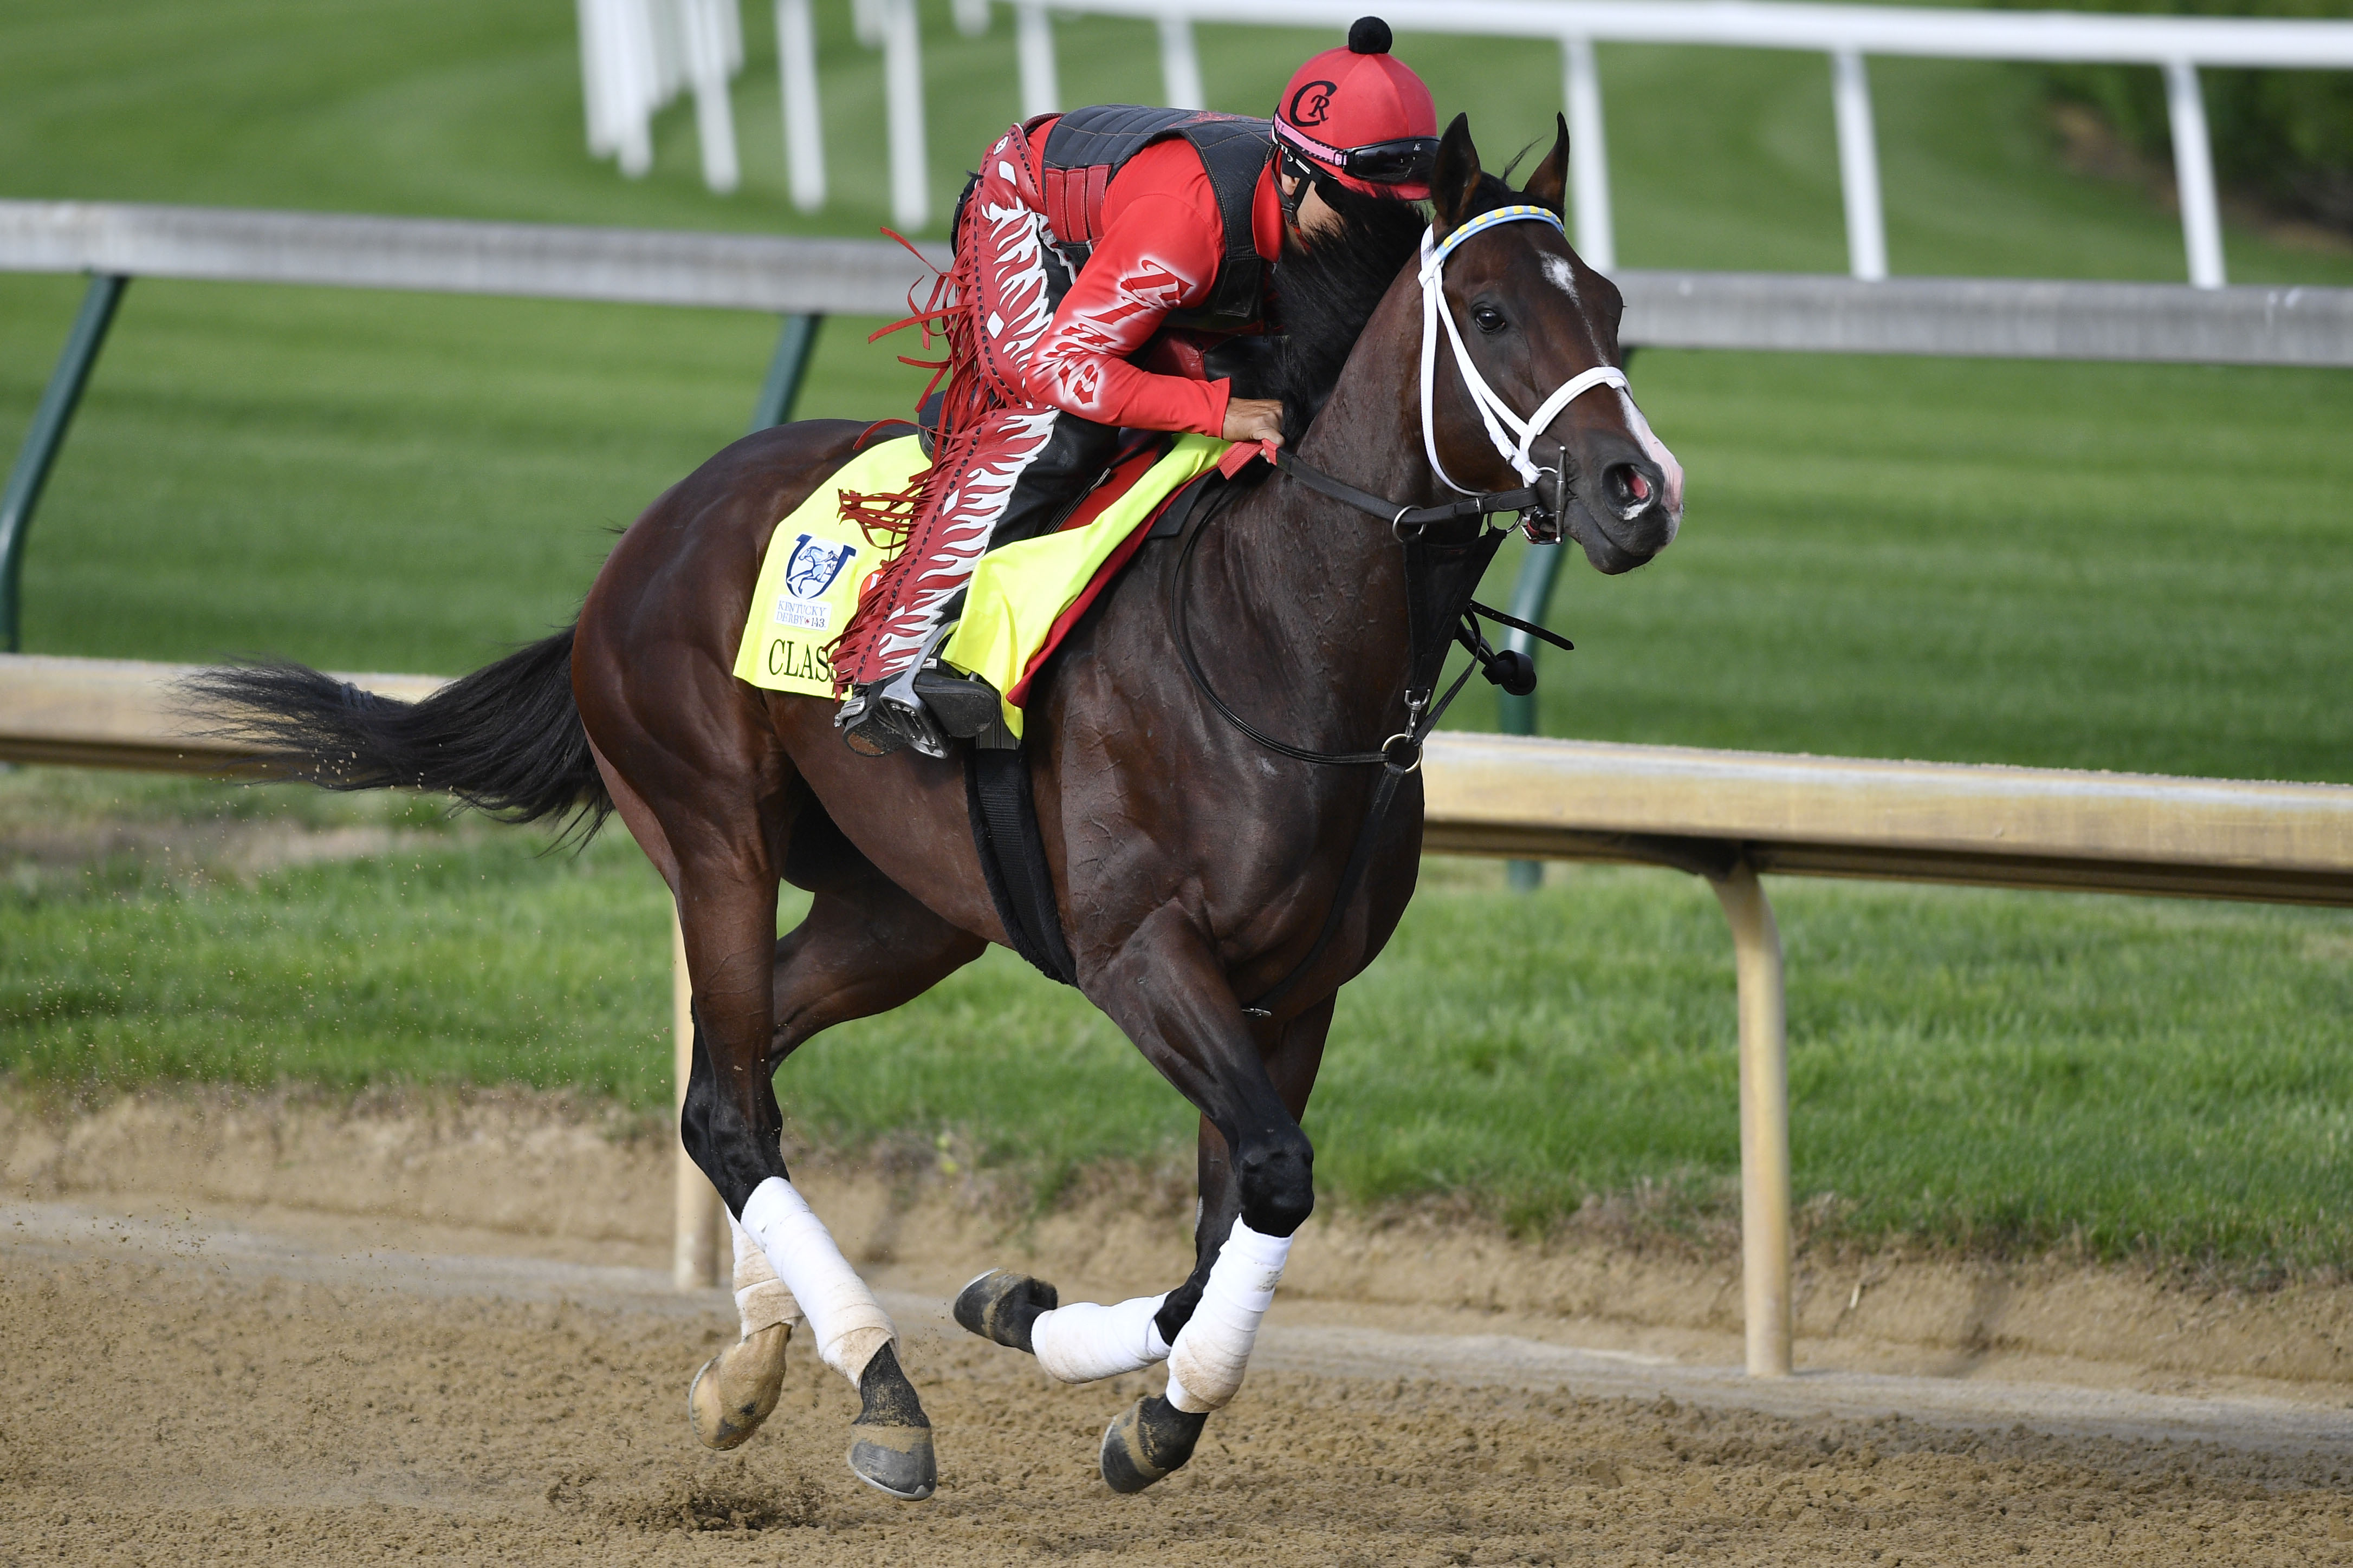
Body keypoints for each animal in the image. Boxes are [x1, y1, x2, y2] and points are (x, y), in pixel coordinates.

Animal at [193, 120, 1684, 1495]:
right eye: (1487, 312)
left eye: (1611, 306)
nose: (1639, 492)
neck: (1274, 635)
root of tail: (647, 533)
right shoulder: (1140, 952)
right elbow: (1270, 1176)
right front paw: (1134, 1403)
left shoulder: (1296, 989)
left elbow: (1225, 1232)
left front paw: (1051, 1330)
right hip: (712, 827)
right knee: (726, 1104)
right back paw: (879, 1392)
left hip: (904, 912)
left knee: (734, 1073)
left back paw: (752, 1362)